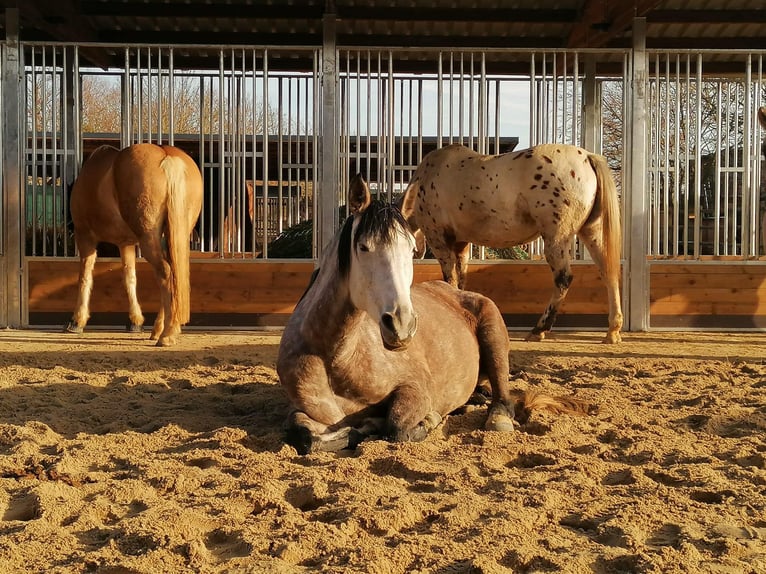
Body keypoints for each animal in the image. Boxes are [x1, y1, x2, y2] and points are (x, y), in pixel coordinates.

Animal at [66, 146, 204, 348]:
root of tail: (166, 156)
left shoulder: (85, 238)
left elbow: (84, 277)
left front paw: (77, 321)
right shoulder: (126, 244)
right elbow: (129, 278)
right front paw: (135, 320)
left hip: (148, 238)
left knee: (165, 272)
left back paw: (167, 334)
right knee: (173, 275)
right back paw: (159, 330)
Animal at [400, 143, 628, 346]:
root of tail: (588, 157)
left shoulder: (440, 240)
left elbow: (450, 279)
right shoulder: (461, 244)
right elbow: (460, 279)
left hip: (556, 238)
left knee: (563, 279)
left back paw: (539, 330)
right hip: (591, 232)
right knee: (608, 272)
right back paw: (612, 331)